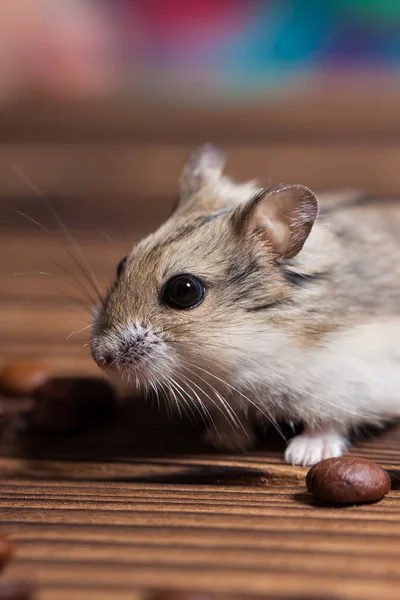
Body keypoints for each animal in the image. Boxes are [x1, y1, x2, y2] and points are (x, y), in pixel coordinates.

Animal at [90, 144, 400, 464]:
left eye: (184, 291)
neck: (251, 341)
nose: (100, 358)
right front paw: (226, 442)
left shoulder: (349, 386)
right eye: (121, 264)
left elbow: (327, 422)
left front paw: (303, 455)